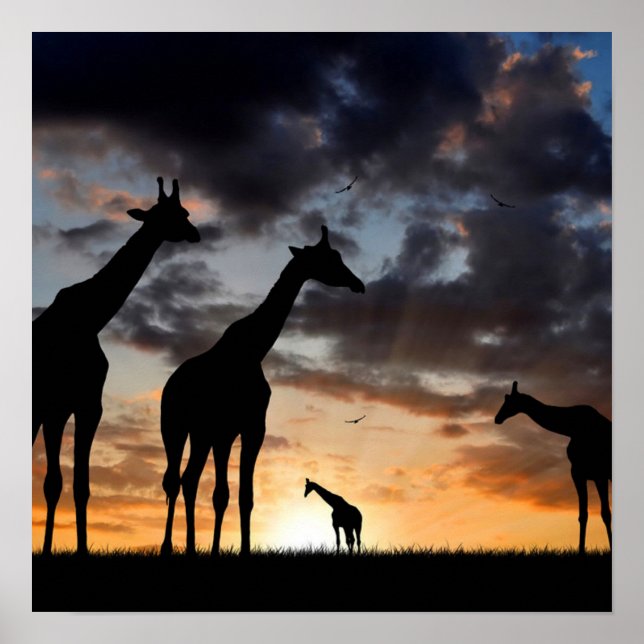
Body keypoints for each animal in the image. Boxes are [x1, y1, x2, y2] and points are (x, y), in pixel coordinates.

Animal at [33, 177, 200, 555]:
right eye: (180, 214)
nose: (195, 233)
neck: (89, 320)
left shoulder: (79, 405)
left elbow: (68, 484)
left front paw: (67, 549)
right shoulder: (61, 407)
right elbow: (61, 483)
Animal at [160, 225, 365, 556]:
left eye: (338, 255)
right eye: (330, 258)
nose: (358, 284)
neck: (254, 350)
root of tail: (170, 383)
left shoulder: (249, 427)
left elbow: (243, 496)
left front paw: (235, 550)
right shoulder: (229, 428)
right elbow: (223, 493)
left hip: (201, 434)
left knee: (190, 480)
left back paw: (190, 547)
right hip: (175, 427)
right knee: (174, 481)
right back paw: (168, 546)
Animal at [494, 381, 611, 554]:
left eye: (509, 400)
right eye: (504, 399)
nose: (497, 418)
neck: (569, 429)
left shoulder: (590, 473)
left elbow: (598, 514)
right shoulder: (588, 474)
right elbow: (592, 514)